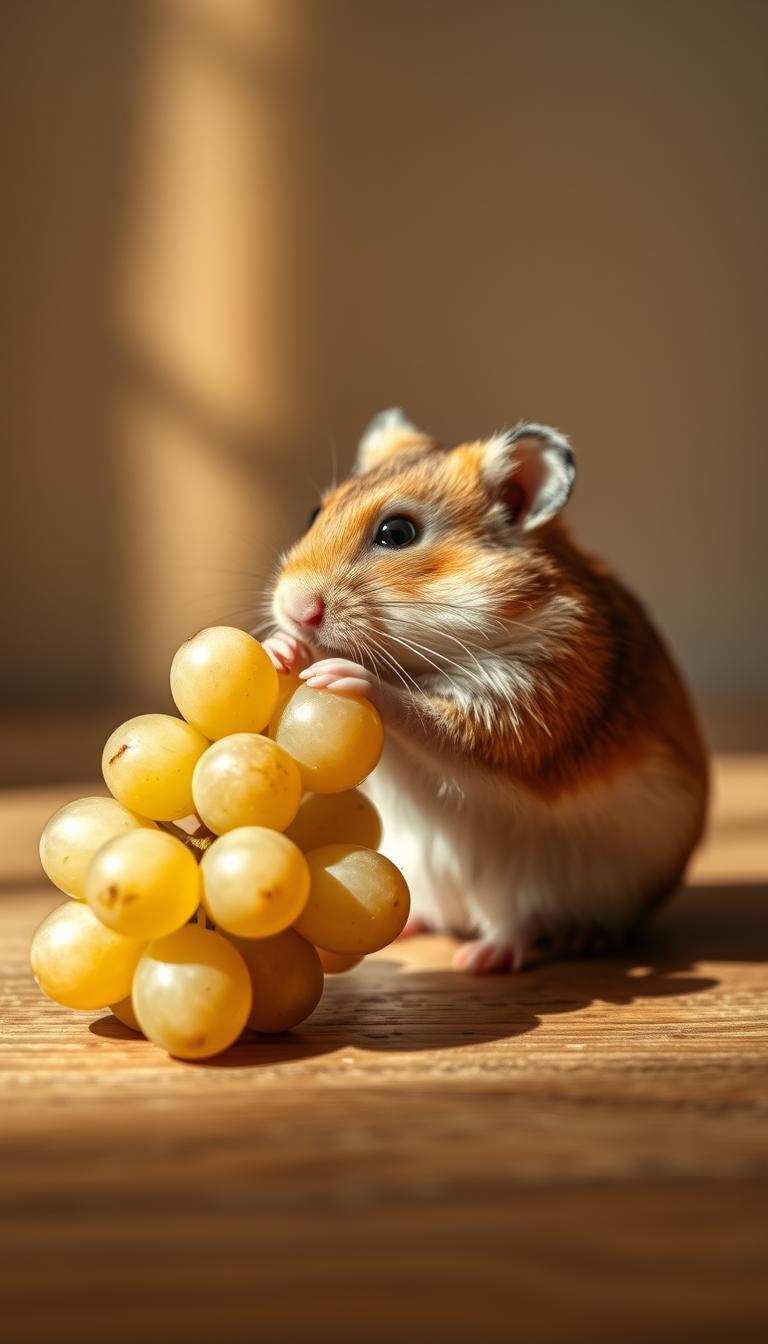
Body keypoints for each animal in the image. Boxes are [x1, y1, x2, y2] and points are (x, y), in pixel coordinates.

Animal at [263, 409, 709, 973]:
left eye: (396, 532)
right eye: (313, 513)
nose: (293, 607)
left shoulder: (526, 707)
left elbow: (428, 719)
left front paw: (344, 675)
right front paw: (282, 650)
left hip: (545, 888)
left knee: (526, 924)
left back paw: (492, 957)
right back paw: (412, 928)